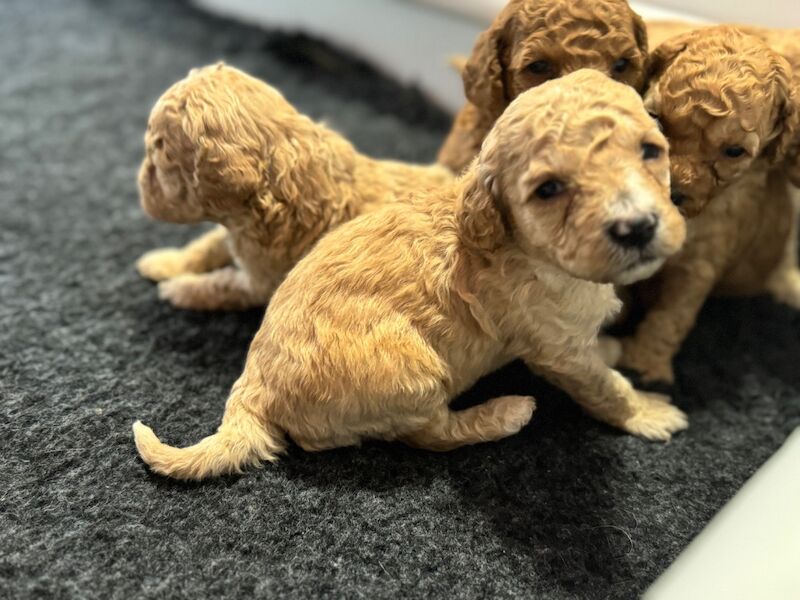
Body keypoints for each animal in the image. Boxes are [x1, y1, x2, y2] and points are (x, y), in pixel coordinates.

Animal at [134, 63, 454, 312]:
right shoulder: (233, 234)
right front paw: (166, 261)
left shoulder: (257, 283)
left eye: (159, 155)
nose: (139, 183)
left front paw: (179, 288)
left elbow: (219, 285)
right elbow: (206, 245)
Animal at [608, 25, 800, 382]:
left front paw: (644, 364)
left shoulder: (700, 265)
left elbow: (672, 315)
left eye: (734, 151)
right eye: (654, 117)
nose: (670, 191)